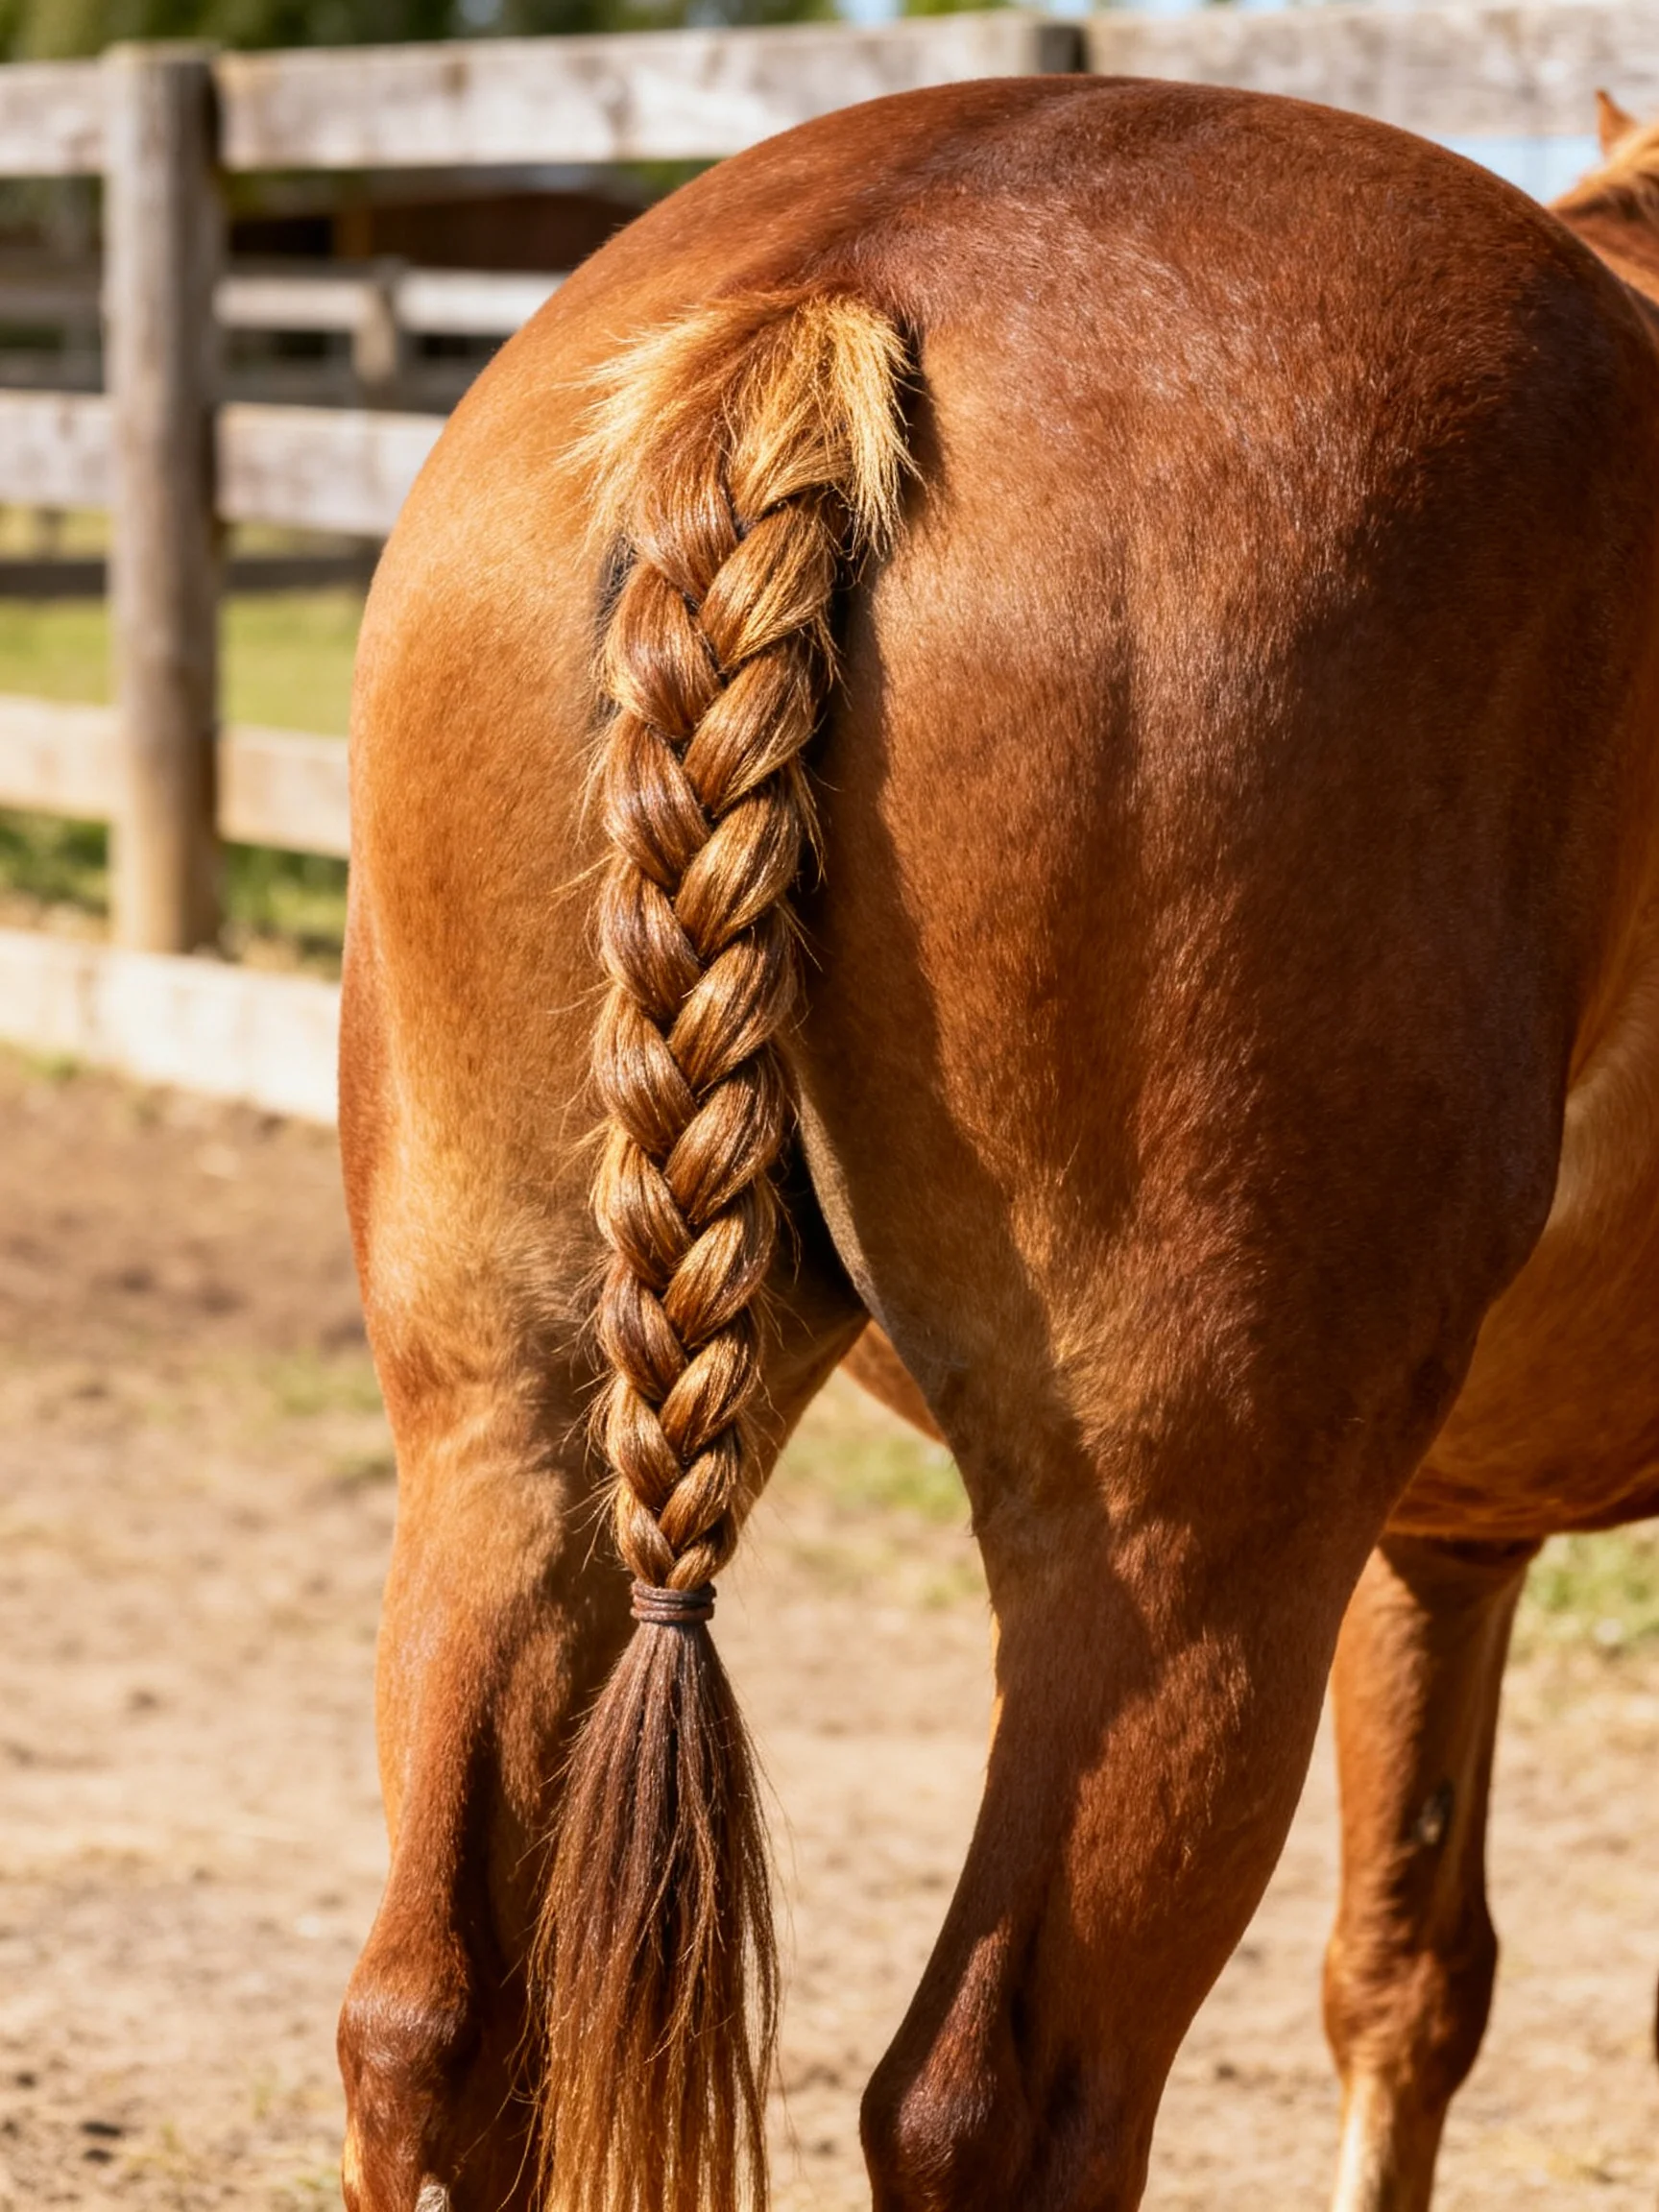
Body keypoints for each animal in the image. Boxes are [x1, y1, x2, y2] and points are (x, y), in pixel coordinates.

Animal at [333, 71, 1659, 2212]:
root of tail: (830, 300)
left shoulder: (1443, 1534)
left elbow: (1405, 1979)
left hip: (507, 1419)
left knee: (432, 2024)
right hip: (1187, 1548)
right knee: (995, 2102)